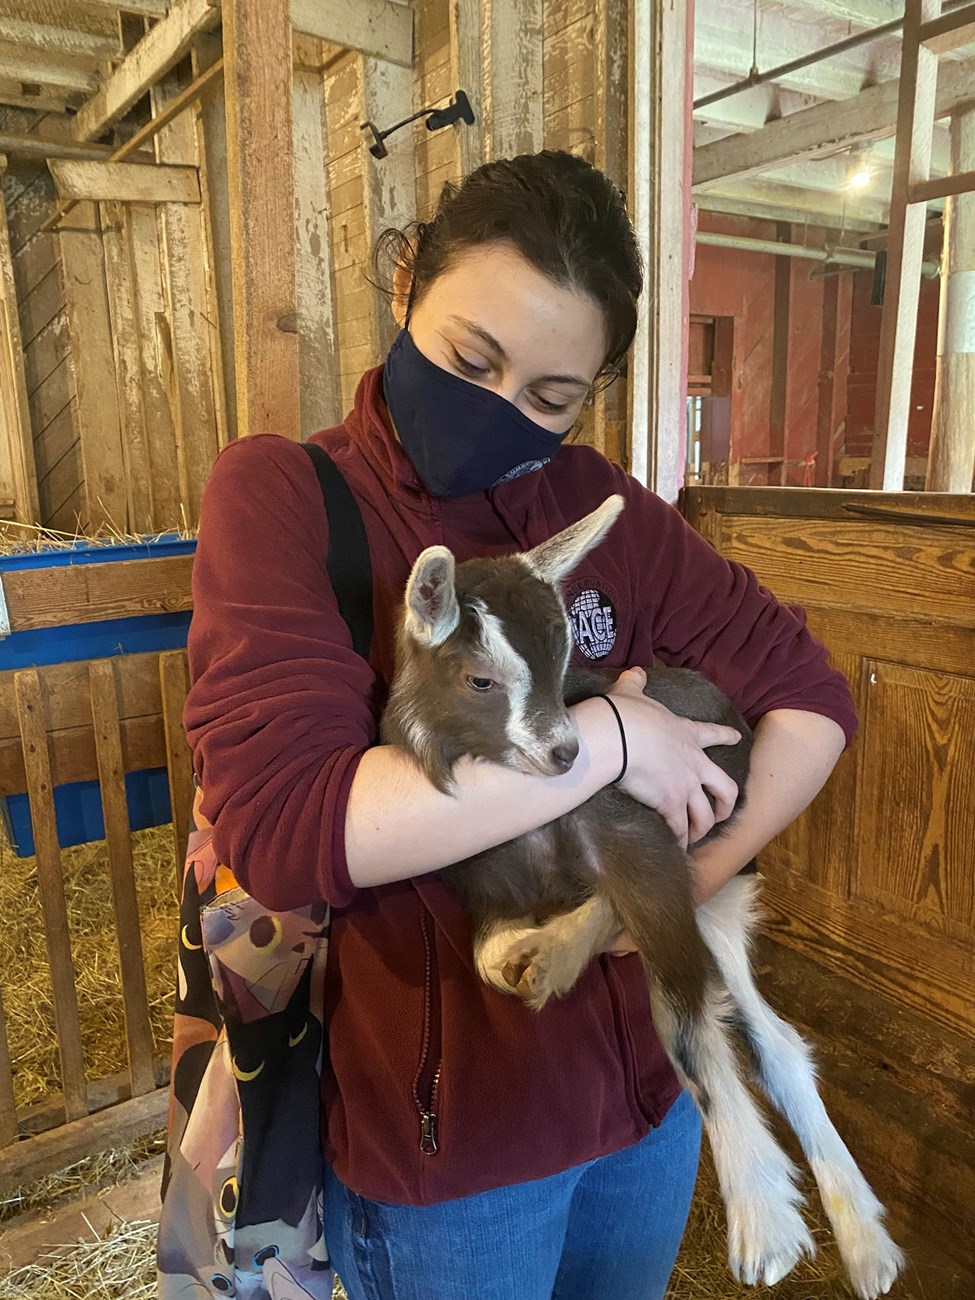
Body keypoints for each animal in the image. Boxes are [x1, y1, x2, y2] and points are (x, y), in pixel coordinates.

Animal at [384, 491, 909, 1294]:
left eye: (565, 657)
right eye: (479, 679)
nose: (568, 752)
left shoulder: (641, 839)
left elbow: (686, 1027)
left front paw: (766, 1229)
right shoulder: (486, 887)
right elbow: (488, 958)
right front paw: (535, 962)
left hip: (714, 876)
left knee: (738, 1022)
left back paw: (855, 1245)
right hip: (710, 902)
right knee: (751, 1026)